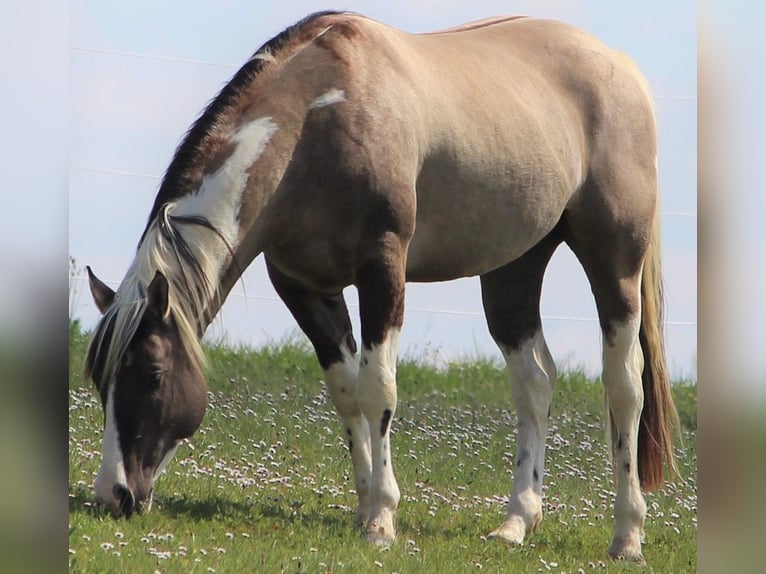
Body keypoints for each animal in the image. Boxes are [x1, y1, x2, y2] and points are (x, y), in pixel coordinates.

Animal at [84, 11, 678, 563]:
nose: (113, 495)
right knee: (534, 382)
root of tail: (621, 67)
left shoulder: (382, 271)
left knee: (625, 387)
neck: (317, 121)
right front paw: (366, 502)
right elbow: (347, 393)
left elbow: (379, 390)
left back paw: (628, 535)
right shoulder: (303, 287)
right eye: (100, 379)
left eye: (153, 374)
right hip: (513, 269)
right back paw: (516, 522)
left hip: (614, 263)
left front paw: (382, 519)